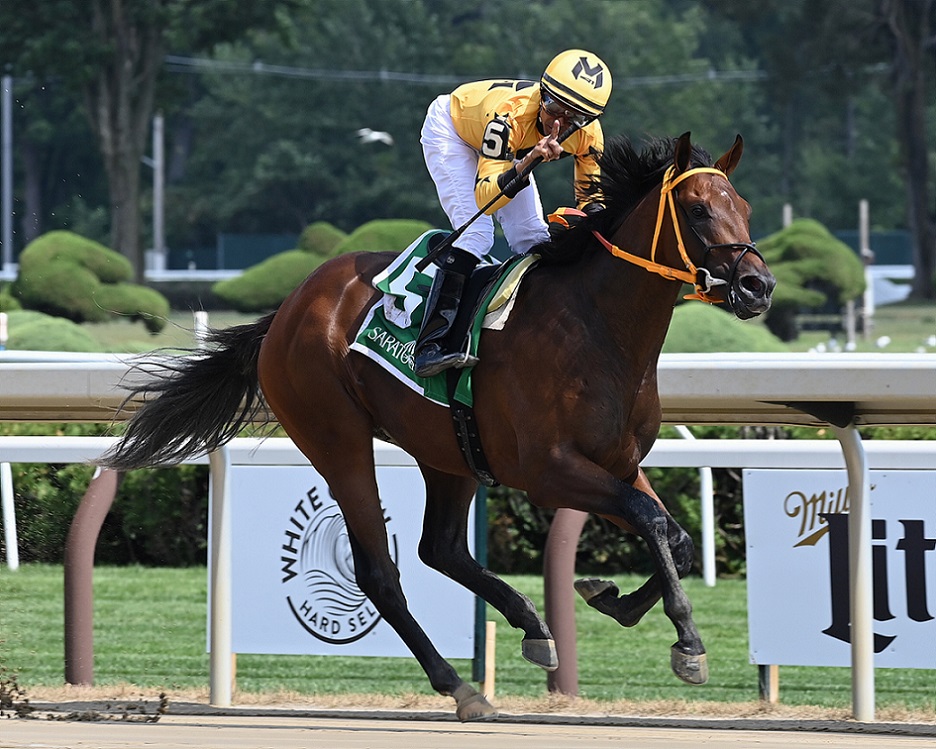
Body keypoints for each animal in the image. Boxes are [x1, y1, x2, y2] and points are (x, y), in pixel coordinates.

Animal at [99, 131, 775, 721]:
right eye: (697, 210)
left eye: (743, 207)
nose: (757, 285)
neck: (597, 328)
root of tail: (288, 308)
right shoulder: (550, 470)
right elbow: (653, 522)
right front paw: (686, 642)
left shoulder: (618, 463)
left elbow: (674, 536)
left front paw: (613, 598)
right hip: (337, 438)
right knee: (381, 570)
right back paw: (461, 686)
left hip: (448, 450)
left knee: (439, 547)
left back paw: (531, 627)